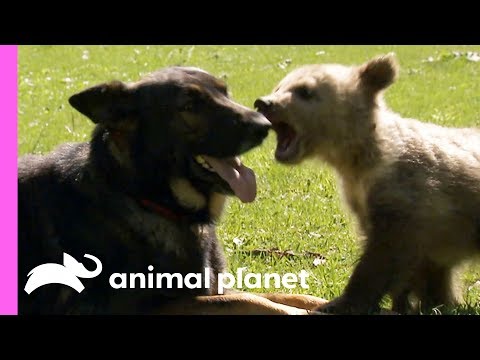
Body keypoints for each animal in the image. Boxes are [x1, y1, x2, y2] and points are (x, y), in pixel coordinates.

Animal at [18, 67, 326, 316]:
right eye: (189, 106)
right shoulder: (146, 308)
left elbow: (282, 295)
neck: (143, 198)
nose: (265, 126)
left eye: (225, 93)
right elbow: (246, 301)